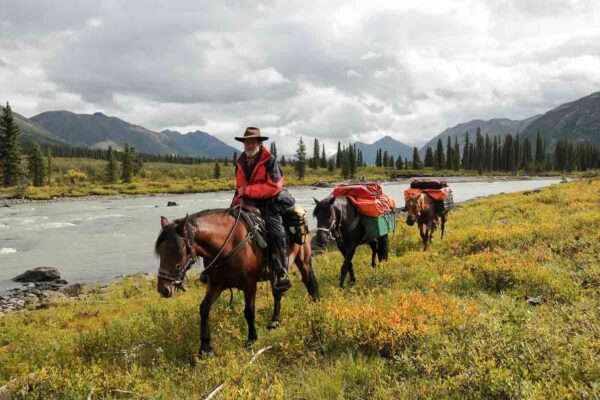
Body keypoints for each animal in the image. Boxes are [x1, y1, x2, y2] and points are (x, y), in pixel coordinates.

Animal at [157, 208, 322, 354]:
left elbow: (249, 311)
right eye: (160, 251)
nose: (163, 289)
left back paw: (314, 307)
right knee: (277, 293)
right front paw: (204, 347)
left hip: (303, 261)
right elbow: (204, 308)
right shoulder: (216, 284)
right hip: (275, 275)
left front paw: (251, 339)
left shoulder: (249, 284)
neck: (227, 246)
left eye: (178, 250)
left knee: (309, 282)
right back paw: (274, 321)